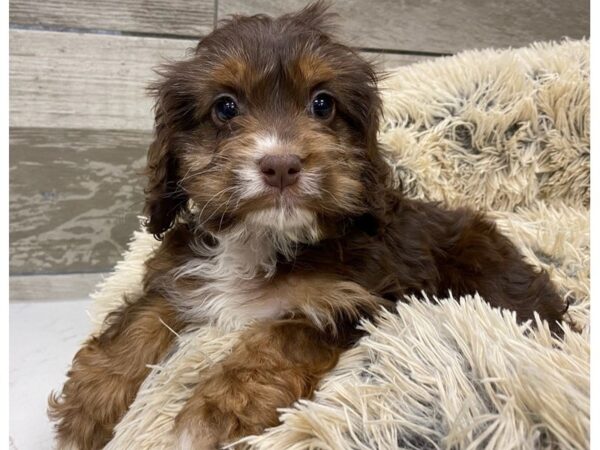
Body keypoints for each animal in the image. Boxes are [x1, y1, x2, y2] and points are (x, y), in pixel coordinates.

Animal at [48, 4, 568, 450]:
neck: (266, 238)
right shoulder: (179, 273)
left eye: (322, 104)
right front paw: (87, 408)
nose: (281, 165)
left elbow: (280, 343)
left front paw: (211, 415)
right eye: (225, 108)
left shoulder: (349, 301)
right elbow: (140, 317)